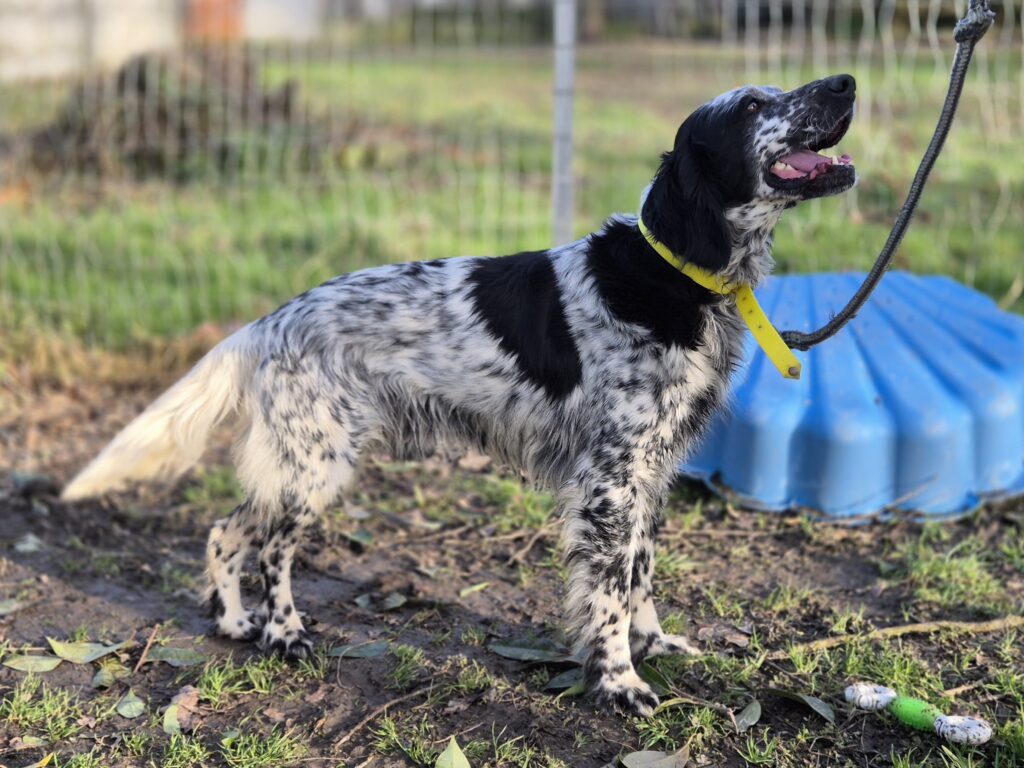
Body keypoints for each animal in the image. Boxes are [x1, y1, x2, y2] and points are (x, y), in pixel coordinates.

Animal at [62, 74, 857, 717]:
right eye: (751, 106)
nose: (846, 83)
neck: (674, 276)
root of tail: (269, 322)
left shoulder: (651, 473)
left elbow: (640, 576)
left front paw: (652, 644)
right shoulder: (609, 484)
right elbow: (606, 595)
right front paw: (618, 681)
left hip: (296, 462)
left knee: (226, 532)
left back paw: (234, 623)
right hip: (316, 468)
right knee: (273, 554)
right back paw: (283, 631)